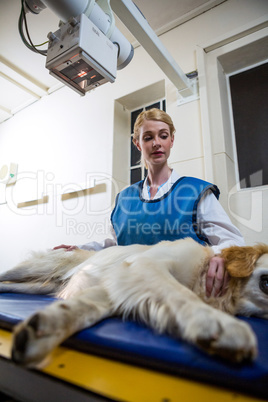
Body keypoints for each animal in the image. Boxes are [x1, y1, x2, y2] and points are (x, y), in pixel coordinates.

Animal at [0, 239, 268, 368]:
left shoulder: (113, 292)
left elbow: (85, 310)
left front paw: (44, 330)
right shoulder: (144, 265)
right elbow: (181, 293)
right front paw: (218, 324)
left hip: (37, 285)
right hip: (32, 268)